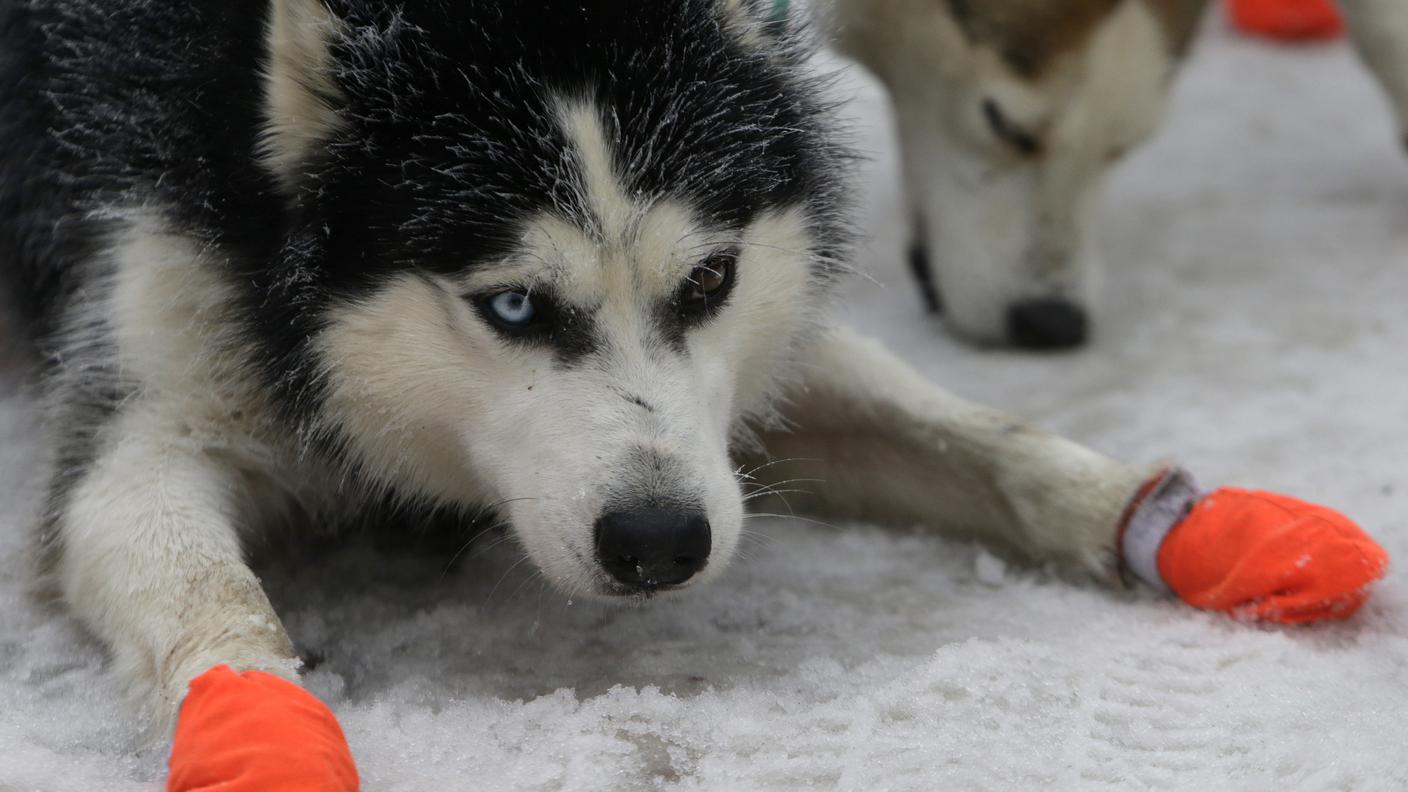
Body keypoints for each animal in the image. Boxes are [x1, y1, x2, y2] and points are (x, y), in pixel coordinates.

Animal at [5, 0, 1199, 727]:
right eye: (514, 304)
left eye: (710, 280)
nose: (659, 541)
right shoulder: (147, 382)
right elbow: (205, 597)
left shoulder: (745, 383)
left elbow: (987, 444)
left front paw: (1166, 520)